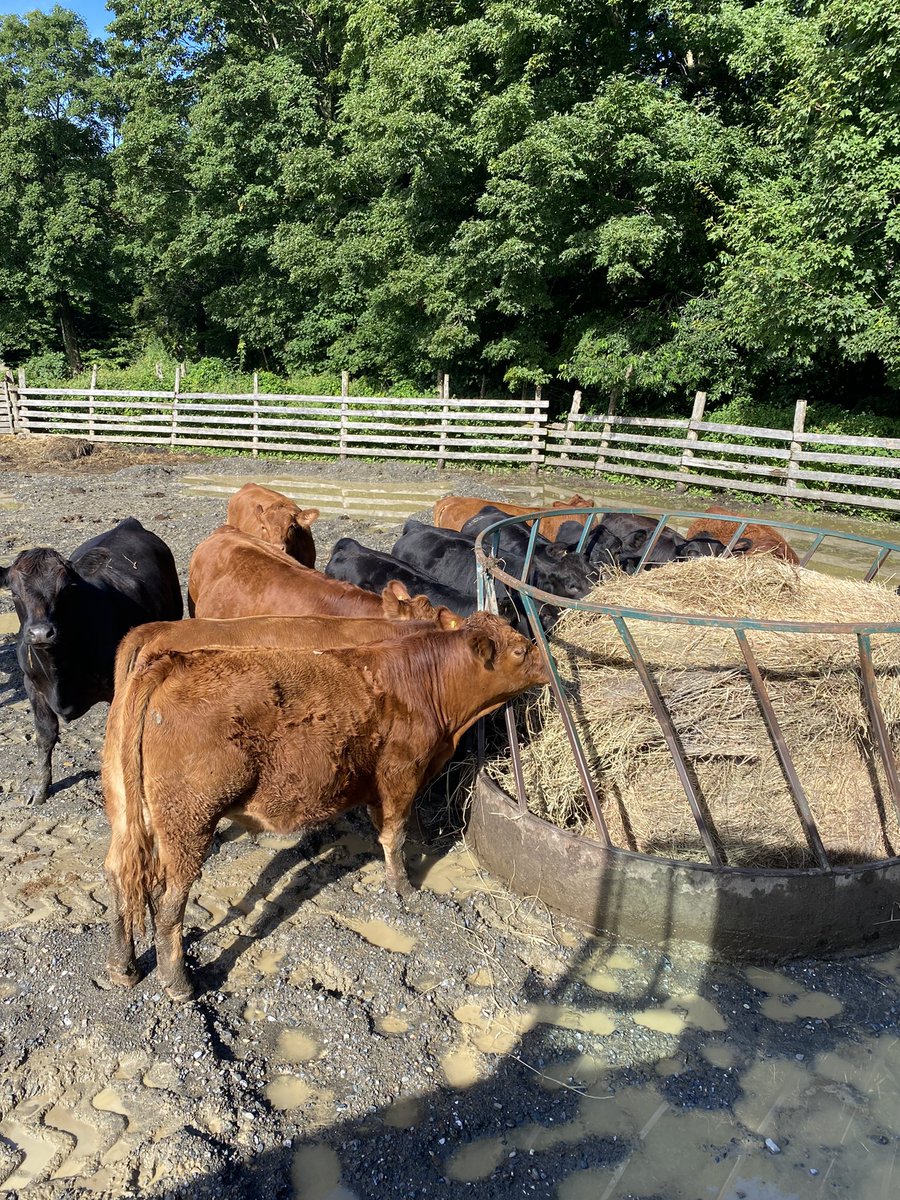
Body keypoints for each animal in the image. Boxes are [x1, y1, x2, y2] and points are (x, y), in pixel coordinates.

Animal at [0, 518, 183, 804]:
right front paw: (40, 789)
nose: (41, 633)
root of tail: (129, 523)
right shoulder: (31, 684)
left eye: (65, 590)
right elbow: (45, 735)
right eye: (15, 593)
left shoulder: (114, 687)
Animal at [102, 612, 550, 1000]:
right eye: (519, 650)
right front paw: (404, 886)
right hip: (188, 822)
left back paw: (122, 968)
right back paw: (178, 983)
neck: (421, 681)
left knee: (122, 875)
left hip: (128, 811)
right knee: (169, 903)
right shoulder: (401, 775)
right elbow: (395, 834)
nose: (550, 664)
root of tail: (172, 662)